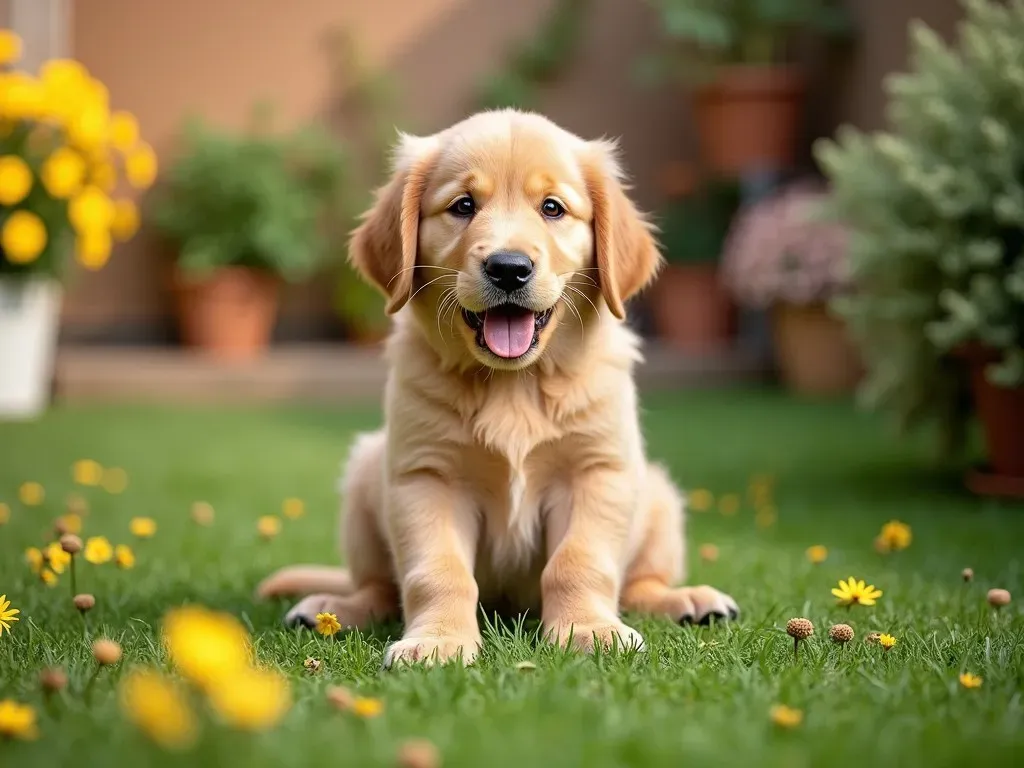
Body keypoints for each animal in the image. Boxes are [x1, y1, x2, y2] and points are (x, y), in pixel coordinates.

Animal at [254, 108, 737, 667]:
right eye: (463, 205)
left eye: (552, 208)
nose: (509, 268)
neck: (515, 383)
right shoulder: (426, 476)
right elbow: (437, 571)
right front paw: (438, 640)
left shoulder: (597, 471)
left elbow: (580, 561)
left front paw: (590, 630)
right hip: (364, 475)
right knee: (378, 587)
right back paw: (333, 608)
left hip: (658, 497)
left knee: (640, 584)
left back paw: (688, 599)